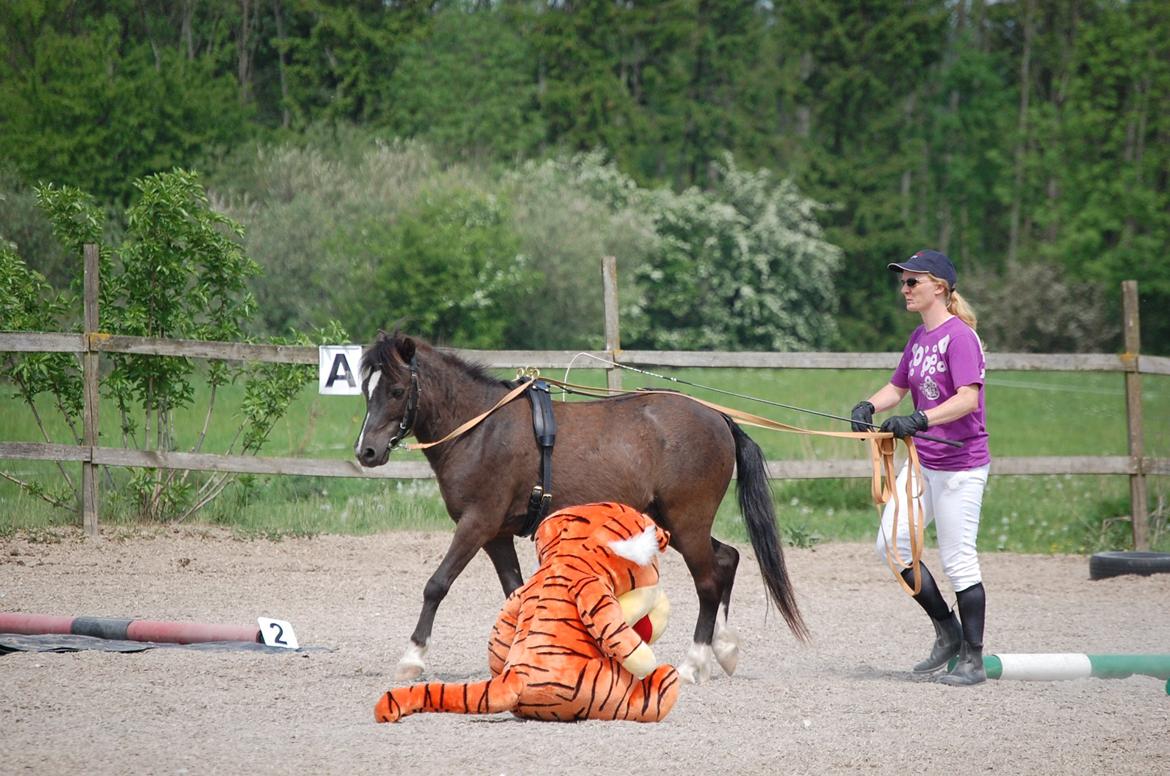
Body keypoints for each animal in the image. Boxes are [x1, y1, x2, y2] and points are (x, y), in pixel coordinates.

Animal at [354, 330, 808, 684]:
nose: (367, 451)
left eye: (396, 390)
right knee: (727, 558)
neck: (479, 429)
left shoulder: (476, 524)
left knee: (709, 581)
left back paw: (693, 664)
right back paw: (724, 650)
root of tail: (717, 417)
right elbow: (515, 593)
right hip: (672, 521)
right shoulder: (496, 535)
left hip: (687, 520)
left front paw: (412, 658)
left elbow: (437, 584)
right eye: (365, 391)